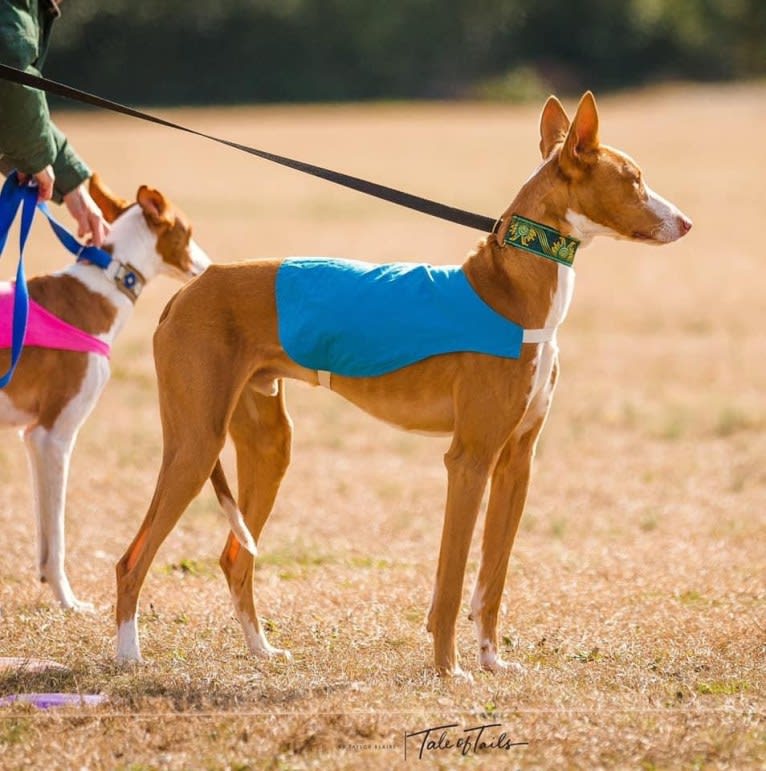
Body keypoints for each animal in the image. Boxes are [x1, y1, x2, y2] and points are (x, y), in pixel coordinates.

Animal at [0, 178, 212, 612]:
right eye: (189, 232)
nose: (210, 264)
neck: (103, 285)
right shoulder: (52, 437)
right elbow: (58, 536)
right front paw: (68, 601)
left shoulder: (32, 438)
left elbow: (44, 535)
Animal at [115, 95, 696, 676]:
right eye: (635, 179)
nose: (689, 223)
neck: (509, 290)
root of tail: (187, 292)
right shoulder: (469, 459)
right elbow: (453, 579)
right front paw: (450, 670)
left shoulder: (516, 462)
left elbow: (492, 579)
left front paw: (492, 661)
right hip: (196, 444)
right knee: (132, 558)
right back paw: (128, 655)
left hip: (268, 445)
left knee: (236, 555)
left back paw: (261, 649)